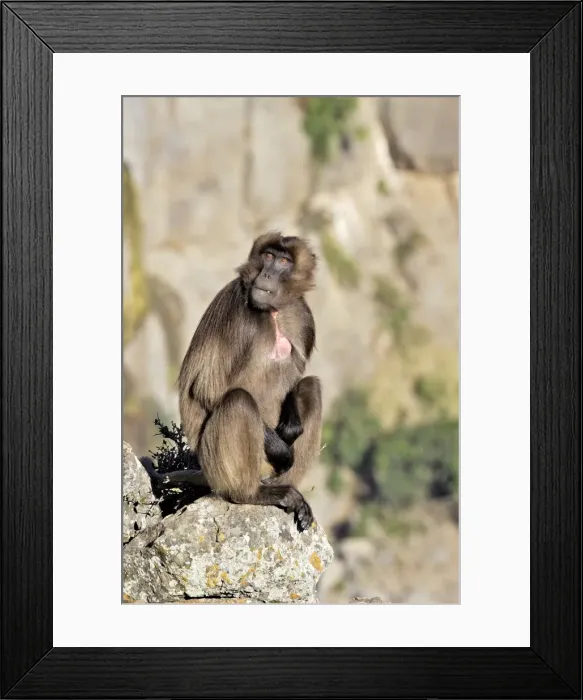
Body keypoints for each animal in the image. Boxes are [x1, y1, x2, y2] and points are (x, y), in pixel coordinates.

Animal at [148, 233, 322, 532]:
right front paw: (281, 449)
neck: (273, 312)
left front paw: (291, 425)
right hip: (217, 465)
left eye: (284, 261)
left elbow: (296, 381)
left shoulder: (303, 318)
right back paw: (252, 494)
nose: (266, 274)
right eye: (268, 256)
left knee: (311, 387)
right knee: (239, 400)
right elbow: (209, 388)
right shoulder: (237, 311)